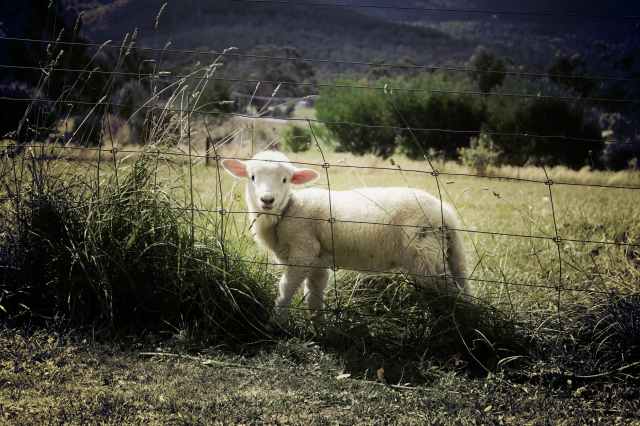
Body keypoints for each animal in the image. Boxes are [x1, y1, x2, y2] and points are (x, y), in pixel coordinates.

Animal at [222, 151, 471, 324]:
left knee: (451, 292)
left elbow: (286, 289)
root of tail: (446, 214)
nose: (267, 200)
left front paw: (276, 322)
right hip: (448, 254)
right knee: (462, 287)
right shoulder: (318, 261)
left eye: (285, 180)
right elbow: (314, 295)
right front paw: (318, 326)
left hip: (425, 257)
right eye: (252, 177)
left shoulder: (303, 252)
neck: (287, 210)